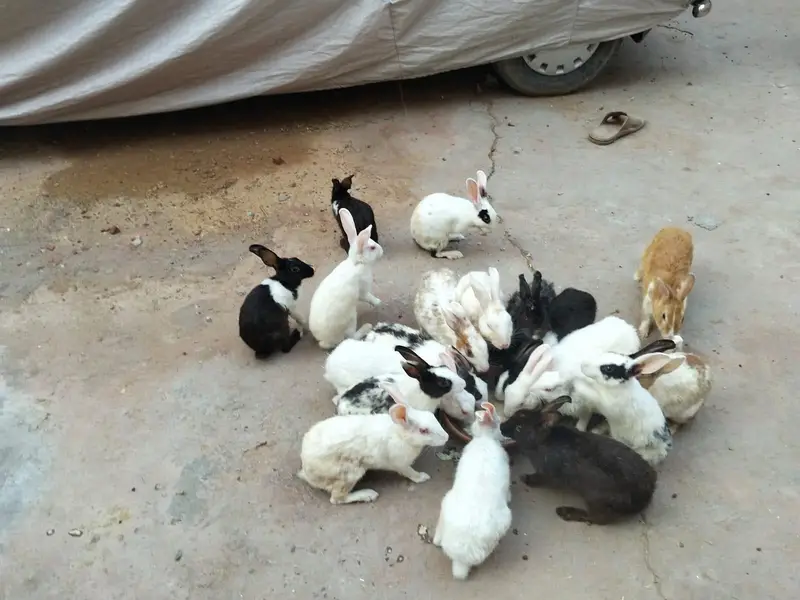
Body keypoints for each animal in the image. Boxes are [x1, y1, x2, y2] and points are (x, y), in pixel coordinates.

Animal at [298, 385, 449, 504]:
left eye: (432, 416)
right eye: (424, 430)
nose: (447, 437)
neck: (401, 435)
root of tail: (307, 472)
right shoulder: (401, 464)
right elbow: (411, 473)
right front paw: (423, 477)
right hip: (349, 474)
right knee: (337, 499)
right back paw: (368, 495)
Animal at [308, 208, 384, 349]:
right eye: (372, 248)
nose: (382, 251)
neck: (357, 263)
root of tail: (324, 341)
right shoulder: (363, 290)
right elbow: (368, 297)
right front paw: (378, 302)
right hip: (351, 318)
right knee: (351, 336)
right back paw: (366, 327)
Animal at [500, 398, 657, 525]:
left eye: (519, 428)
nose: (501, 427)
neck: (541, 442)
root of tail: (646, 495)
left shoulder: (546, 474)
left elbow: (539, 478)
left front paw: (525, 478)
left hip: (595, 499)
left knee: (597, 519)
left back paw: (565, 512)